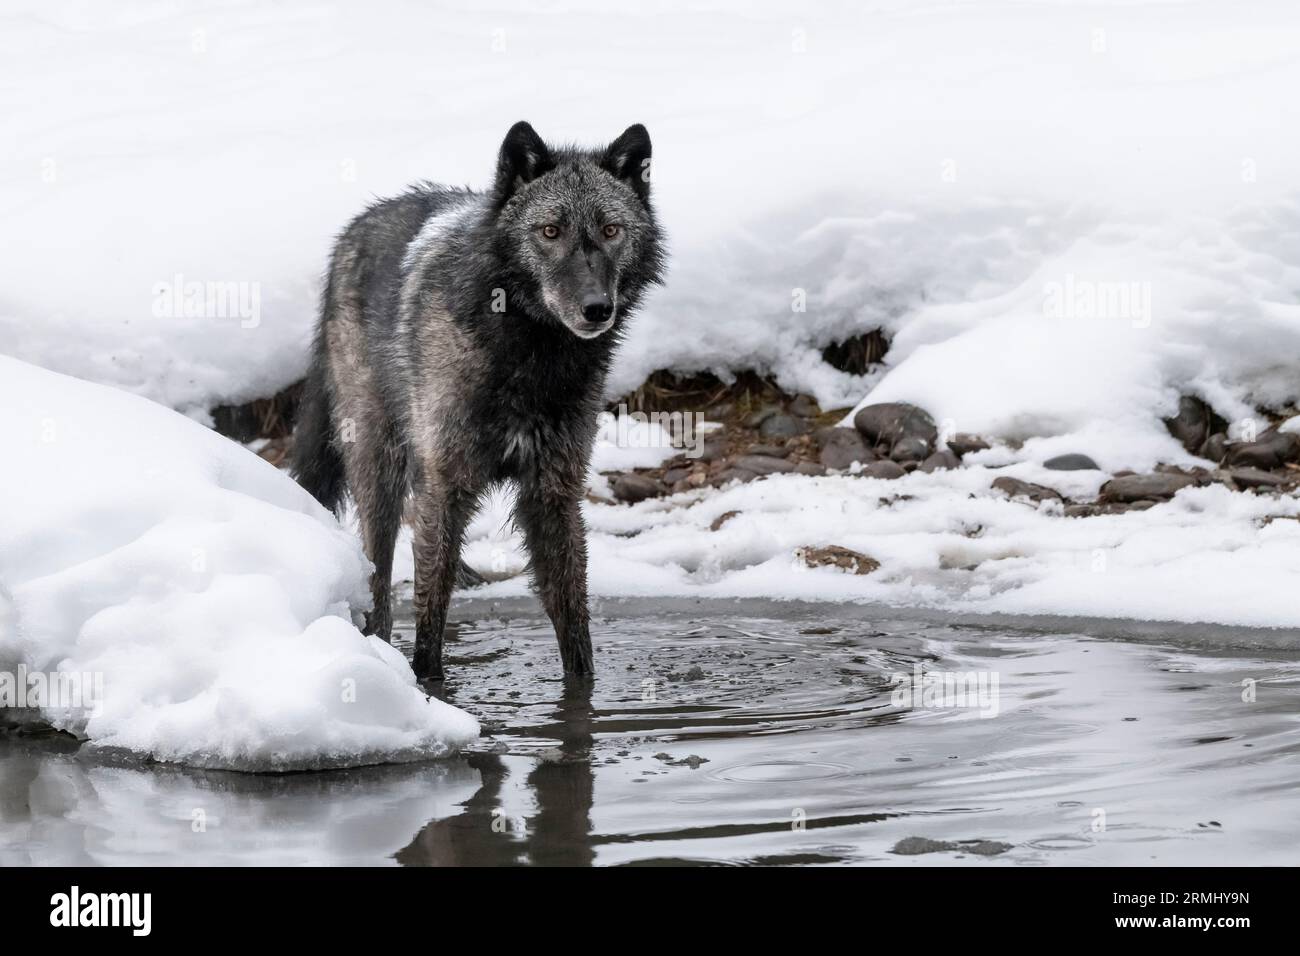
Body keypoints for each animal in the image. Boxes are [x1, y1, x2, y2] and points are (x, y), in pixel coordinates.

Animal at [292, 122, 665, 680]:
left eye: (611, 230)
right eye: (549, 231)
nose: (597, 308)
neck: (530, 353)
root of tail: (356, 228)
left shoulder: (552, 493)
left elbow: (574, 620)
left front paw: (583, 693)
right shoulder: (447, 488)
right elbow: (429, 616)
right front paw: (427, 685)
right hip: (380, 467)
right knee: (378, 583)